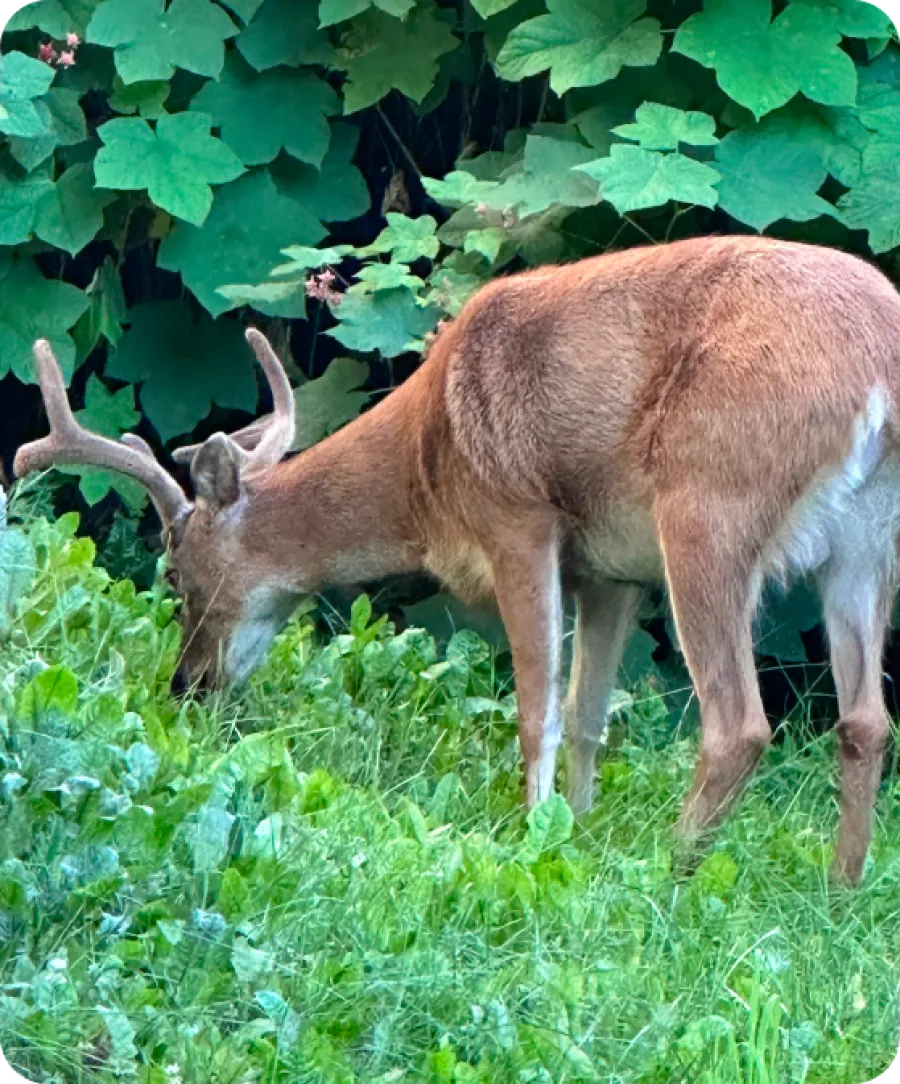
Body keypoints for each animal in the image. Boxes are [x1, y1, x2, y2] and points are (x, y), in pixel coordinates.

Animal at [12, 233, 900, 884]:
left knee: (740, 721)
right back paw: (842, 890)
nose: (186, 686)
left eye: (176, 575)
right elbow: (588, 714)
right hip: (865, 542)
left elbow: (537, 708)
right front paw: (574, 831)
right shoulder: (611, 569)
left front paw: (530, 833)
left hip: (710, 502)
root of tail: (878, 371)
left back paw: (673, 875)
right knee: (865, 720)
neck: (426, 465)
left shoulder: (519, 521)